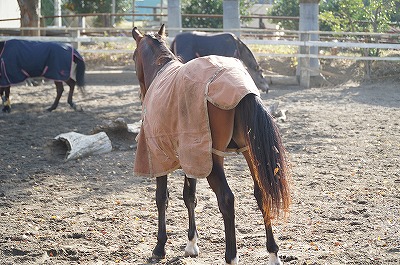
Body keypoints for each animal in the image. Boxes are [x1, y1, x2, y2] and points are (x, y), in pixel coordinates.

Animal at [132, 23, 290, 262]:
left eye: (133, 57)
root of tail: (243, 90)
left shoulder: (161, 156)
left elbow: (161, 198)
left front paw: (160, 247)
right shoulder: (191, 157)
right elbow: (189, 196)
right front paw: (191, 243)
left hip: (214, 159)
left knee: (226, 199)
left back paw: (231, 256)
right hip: (248, 153)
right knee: (262, 194)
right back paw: (273, 253)